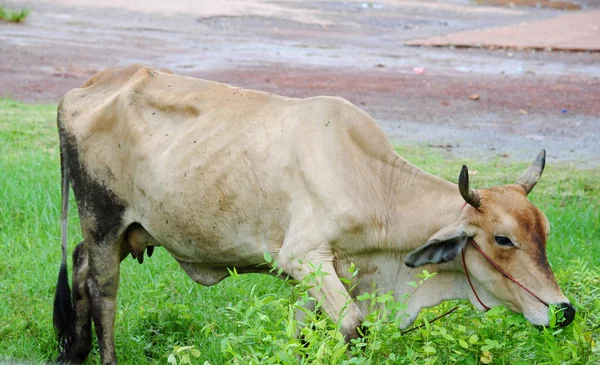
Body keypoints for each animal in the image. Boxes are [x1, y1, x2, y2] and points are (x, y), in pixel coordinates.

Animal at [55, 64, 576, 362]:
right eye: (503, 239)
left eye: (546, 232)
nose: (564, 311)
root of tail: (82, 90)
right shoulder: (304, 257)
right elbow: (352, 328)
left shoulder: (326, 273)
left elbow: (303, 331)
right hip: (103, 220)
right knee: (103, 292)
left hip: (131, 230)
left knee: (78, 265)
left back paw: (72, 351)